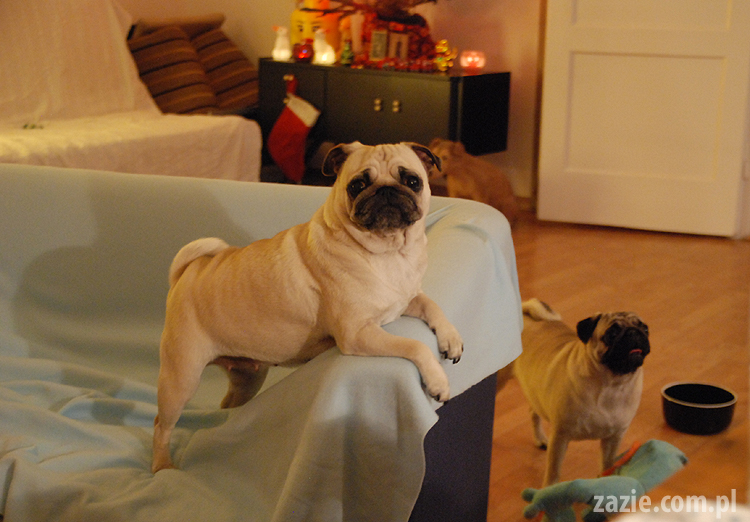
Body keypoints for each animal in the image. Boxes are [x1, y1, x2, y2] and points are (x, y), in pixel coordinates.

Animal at [152, 142, 464, 473]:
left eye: (412, 181)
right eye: (358, 185)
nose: (387, 191)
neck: (388, 251)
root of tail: (186, 273)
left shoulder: (406, 298)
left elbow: (432, 305)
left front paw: (451, 338)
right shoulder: (356, 334)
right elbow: (414, 345)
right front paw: (437, 381)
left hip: (247, 379)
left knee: (228, 406)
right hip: (181, 378)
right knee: (161, 425)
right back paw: (162, 466)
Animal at [505, 298, 649, 486]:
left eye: (645, 329)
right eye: (612, 333)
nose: (634, 332)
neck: (611, 384)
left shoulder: (614, 438)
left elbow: (607, 464)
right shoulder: (560, 436)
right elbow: (554, 470)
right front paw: (549, 488)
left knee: (533, 412)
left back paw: (540, 439)